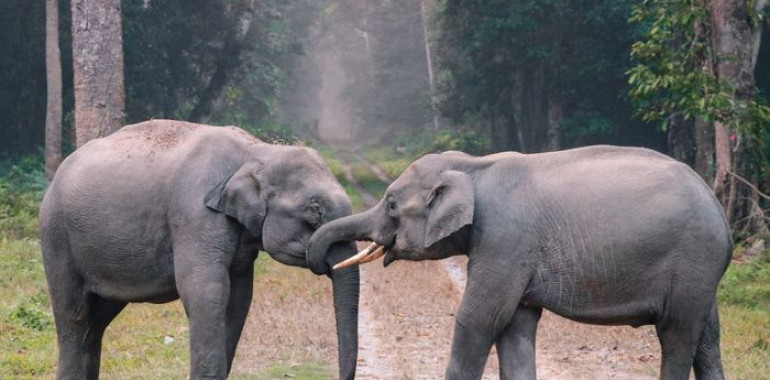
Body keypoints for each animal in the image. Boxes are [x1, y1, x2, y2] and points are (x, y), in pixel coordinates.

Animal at [39, 119, 356, 380]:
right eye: (314, 211)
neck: (257, 151)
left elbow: (239, 297)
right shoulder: (193, 215)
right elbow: (206, 291)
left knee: (96, 322)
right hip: (57, 237)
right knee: (75, 315)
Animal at [304, 145, 728, 380]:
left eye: (391, 204)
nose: (319, 262)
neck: (474, 166)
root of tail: (720, 210)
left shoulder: (505, 240)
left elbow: (479, 318)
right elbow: (516, 326)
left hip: (693, 259)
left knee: (677, 335)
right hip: (701, 272)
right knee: (706, 339)